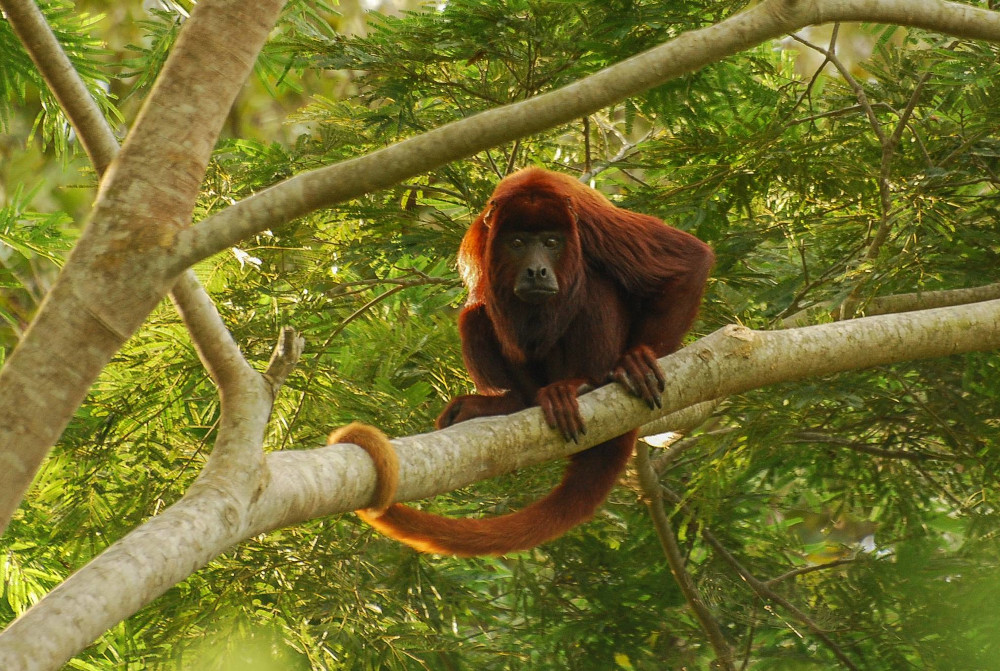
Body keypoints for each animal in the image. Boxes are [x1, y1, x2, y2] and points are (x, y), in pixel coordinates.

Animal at [332, 167, 716, 556]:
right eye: (517, 243)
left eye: (551, 243)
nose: (536, 271)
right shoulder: (480, 237)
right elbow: (483, 301)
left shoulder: (595, 224)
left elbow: (688, 259)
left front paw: (637, 360)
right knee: (475, 313)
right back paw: (512, 402)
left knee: (592, 285)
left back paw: (583, 383)